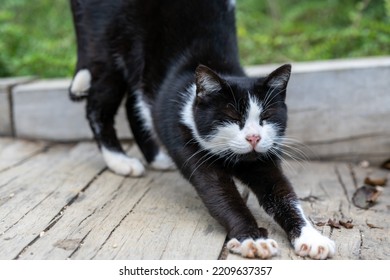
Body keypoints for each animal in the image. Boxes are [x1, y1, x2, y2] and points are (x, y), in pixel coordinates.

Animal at [69, 0, 336, 260]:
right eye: (232, 117)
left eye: (267, 117)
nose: (254, 137)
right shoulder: (187, 141)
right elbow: (221, 195)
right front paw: (253, 239)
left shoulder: (264, 160)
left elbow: (284, 194)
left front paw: (311, 238)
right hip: (105, 47)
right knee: (98, 106)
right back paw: (119, 160)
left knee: (134, 101)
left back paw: (156, 158)